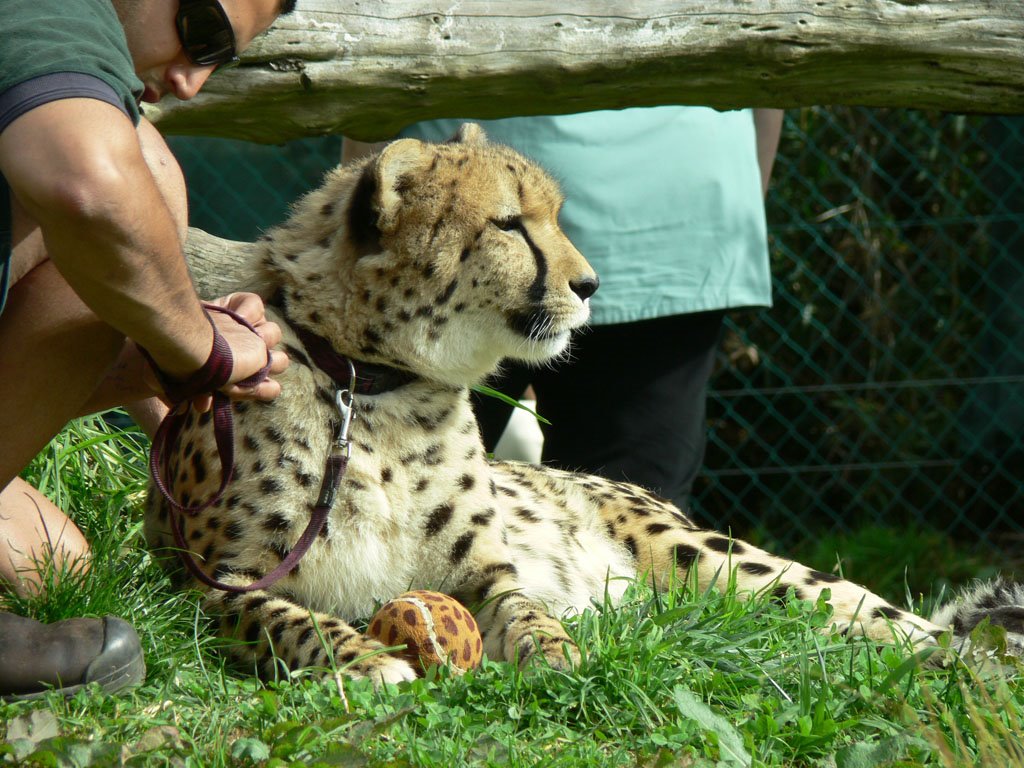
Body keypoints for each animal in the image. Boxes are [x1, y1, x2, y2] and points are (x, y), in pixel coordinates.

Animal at [148, 121, 1019, 684]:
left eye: (555, 217)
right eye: (509, 224)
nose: (591, 284)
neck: (373, 385)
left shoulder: (486, 570)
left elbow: (526, 609)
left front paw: (556, 653)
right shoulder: (209, 582)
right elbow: (286, 619)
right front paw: (363, 658)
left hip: (711, 559)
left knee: (882, 616)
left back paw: (970, 659)